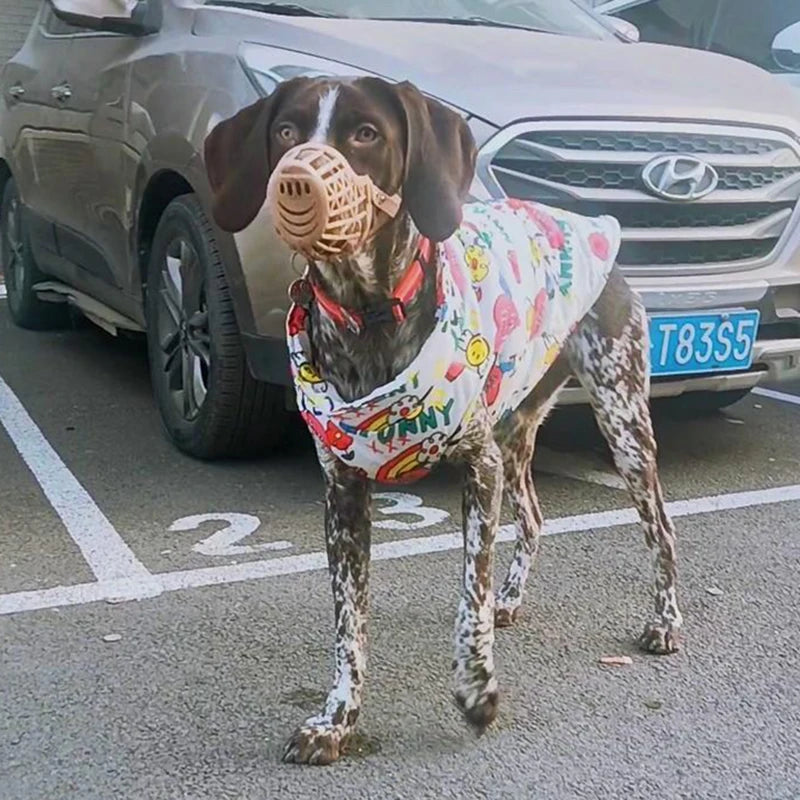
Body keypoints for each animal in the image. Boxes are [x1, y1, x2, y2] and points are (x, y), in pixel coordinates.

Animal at [205, 76, 680, 768]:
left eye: (366, 134)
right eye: (286, 131)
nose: (297, 177)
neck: (370, 318)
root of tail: (591, 224)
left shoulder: (477, 469)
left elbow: (467, 602)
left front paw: (477, 688)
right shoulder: (343, 494)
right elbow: (349, 627)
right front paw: (337, 720)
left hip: (622, 423)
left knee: (661, 529)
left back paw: (666, 621)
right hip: (516, 428)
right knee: (534, 516)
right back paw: (513, 599)